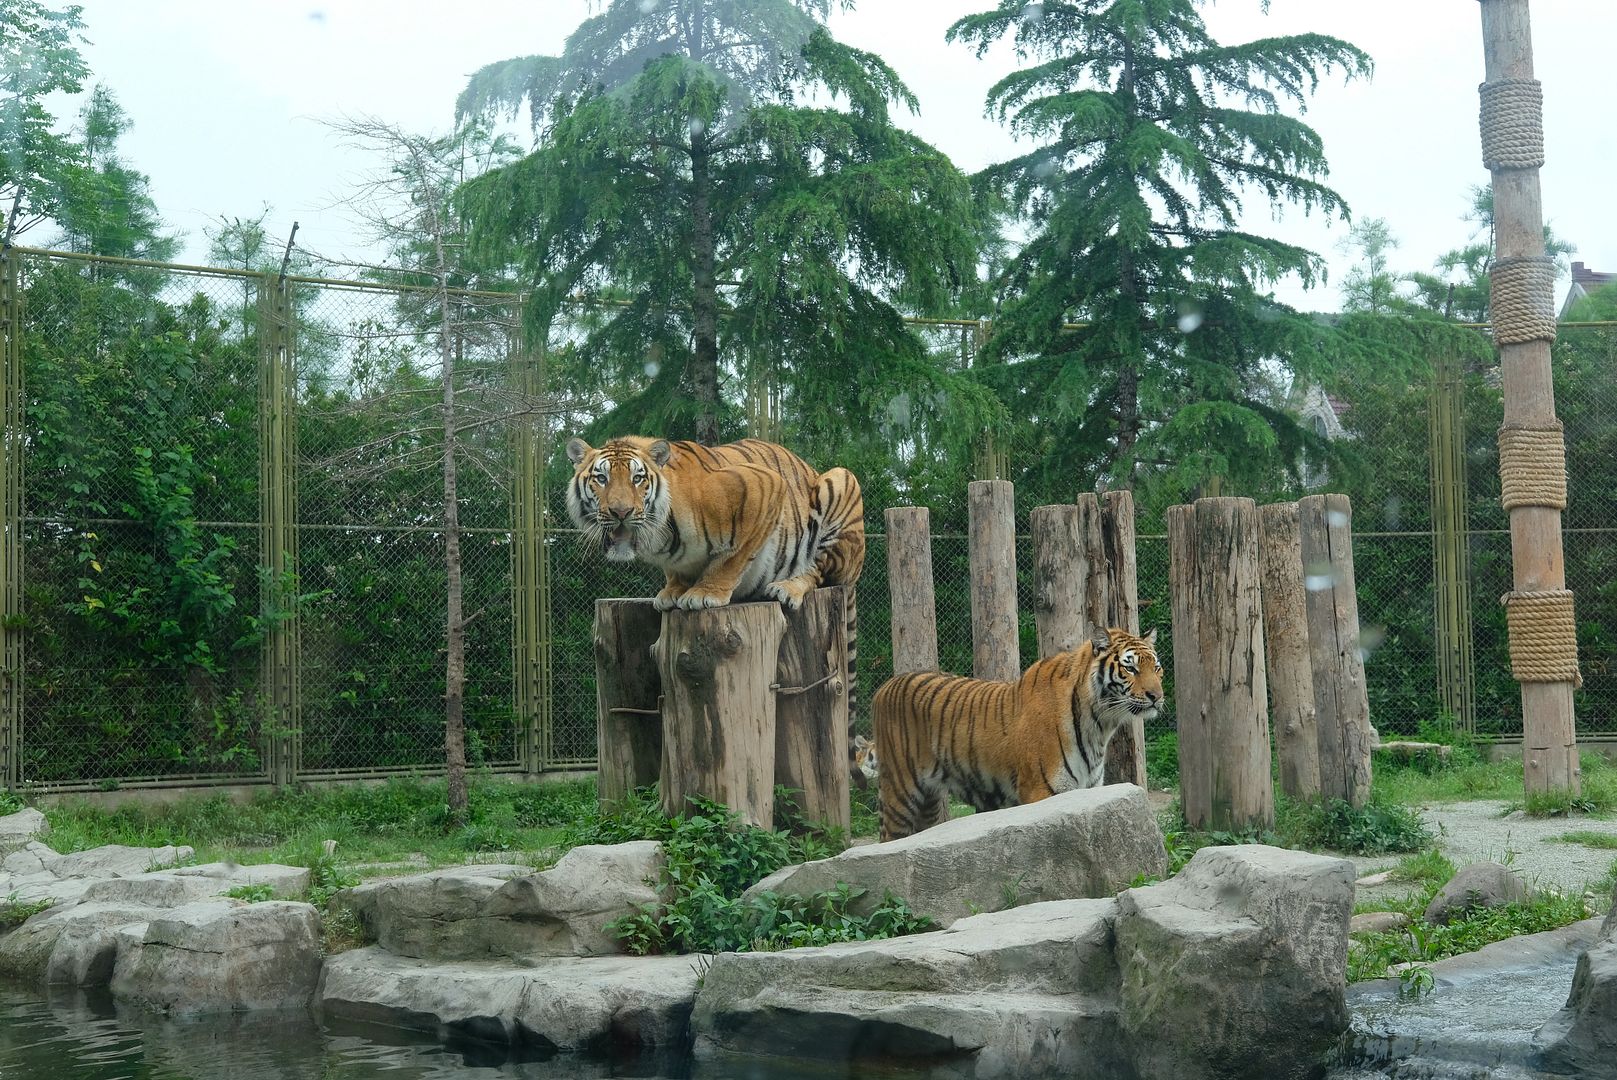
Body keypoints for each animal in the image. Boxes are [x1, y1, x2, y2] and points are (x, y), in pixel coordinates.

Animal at [565, 435, 866, 754]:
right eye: (601, 478)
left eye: (638, 479)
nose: (620, 513)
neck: (659, 538)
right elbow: (679, 570)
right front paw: (672, 591)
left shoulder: (764, 486)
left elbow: (732, 558)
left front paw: (705, 594)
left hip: (841, 483)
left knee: (819, 570)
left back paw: (787, 588)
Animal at [871, 627, 1163, 842]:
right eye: (1130, 668)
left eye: (1157, 668)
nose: (1157, 696)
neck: (1100, 724)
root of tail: (884, 686)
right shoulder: (1041, 792)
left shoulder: (1089, 790)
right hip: (900, 794)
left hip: (928, 804)